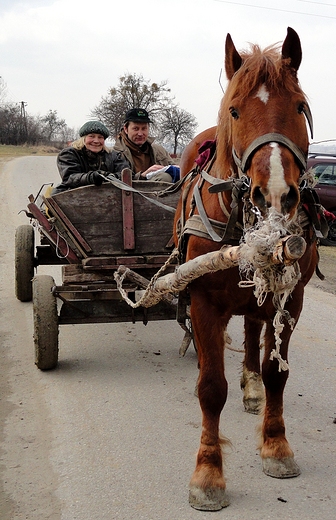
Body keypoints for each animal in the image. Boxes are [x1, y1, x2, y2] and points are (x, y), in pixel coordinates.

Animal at [173, 26, 320, 510]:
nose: (274, 192)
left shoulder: (292, 297)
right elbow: (211, 388)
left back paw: (251, 385)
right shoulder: (201, 299)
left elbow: (278, 373)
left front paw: (276, 446)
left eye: (299, 106)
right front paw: (208, 473)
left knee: (255, 330)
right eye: (235, 109)